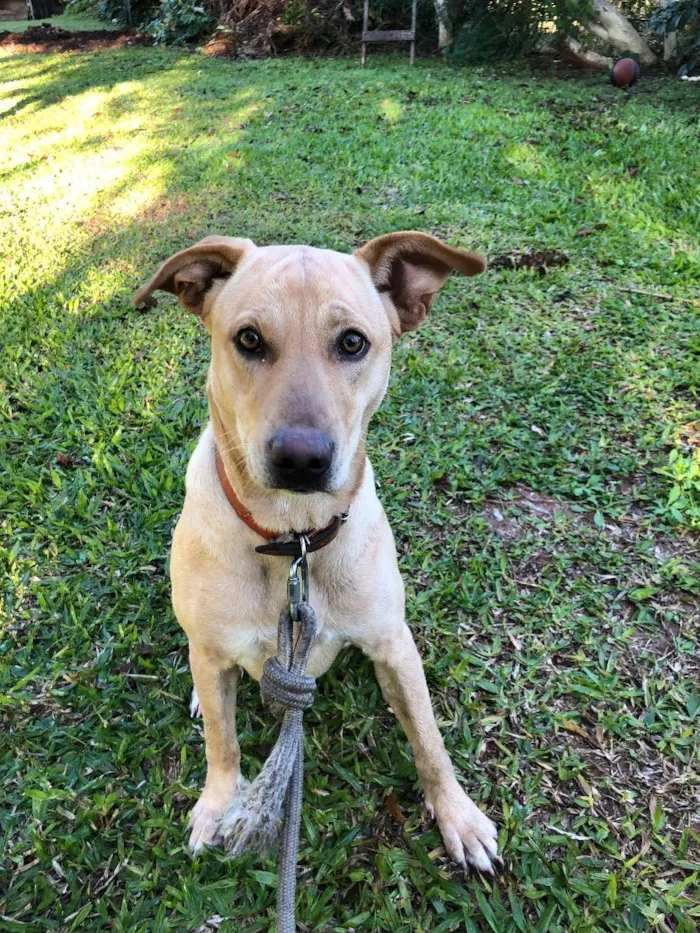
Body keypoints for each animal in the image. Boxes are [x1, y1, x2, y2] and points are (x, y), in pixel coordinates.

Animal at [134, 229, 500, 872]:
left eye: (352, 342)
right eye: (248, 339)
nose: (301, 459)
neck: (292, 539)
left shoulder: (394, 644)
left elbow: (429, 738)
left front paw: (457, 814)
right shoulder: (216, 653)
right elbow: (223, 745)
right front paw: (217, 804)